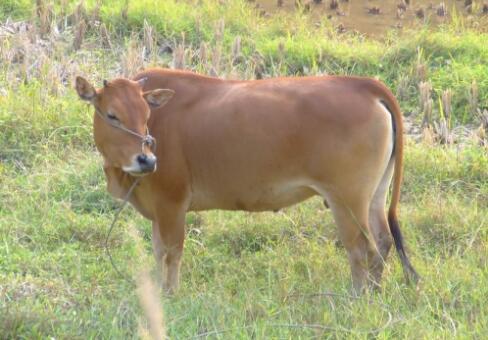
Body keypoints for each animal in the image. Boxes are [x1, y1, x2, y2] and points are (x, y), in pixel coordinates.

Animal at [76, 67, 420, 294]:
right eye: (112, 115)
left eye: (146, 115)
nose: (146, 159)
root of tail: (363, 84)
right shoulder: (160, 210)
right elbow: (159, 251)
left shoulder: (171, 203)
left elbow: (171, 253)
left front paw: (170, 295)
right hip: (374, 195)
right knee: (383, 241)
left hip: (347, 199)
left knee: (363, 249)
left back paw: (358, 297)